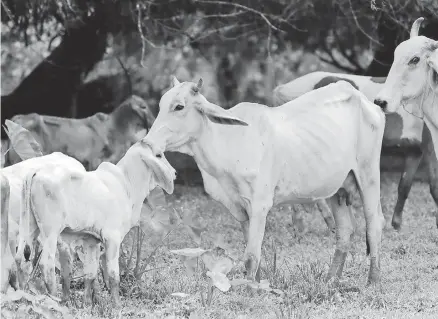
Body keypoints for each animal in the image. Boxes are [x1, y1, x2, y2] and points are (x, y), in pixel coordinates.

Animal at [142, 77, 384, 284]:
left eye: (179, 107)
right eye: (161, 104)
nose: (147, 142)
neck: (227, 142)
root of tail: (358, 95)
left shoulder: (260, 204)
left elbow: (250, 257)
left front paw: (250, 290)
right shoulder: (239, 208)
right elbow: (252, 252)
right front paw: (256, 283)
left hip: (369, 174)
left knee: (374, 224)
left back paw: (372, 281)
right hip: (337, 189)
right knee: (345, 230)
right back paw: (330, 279)